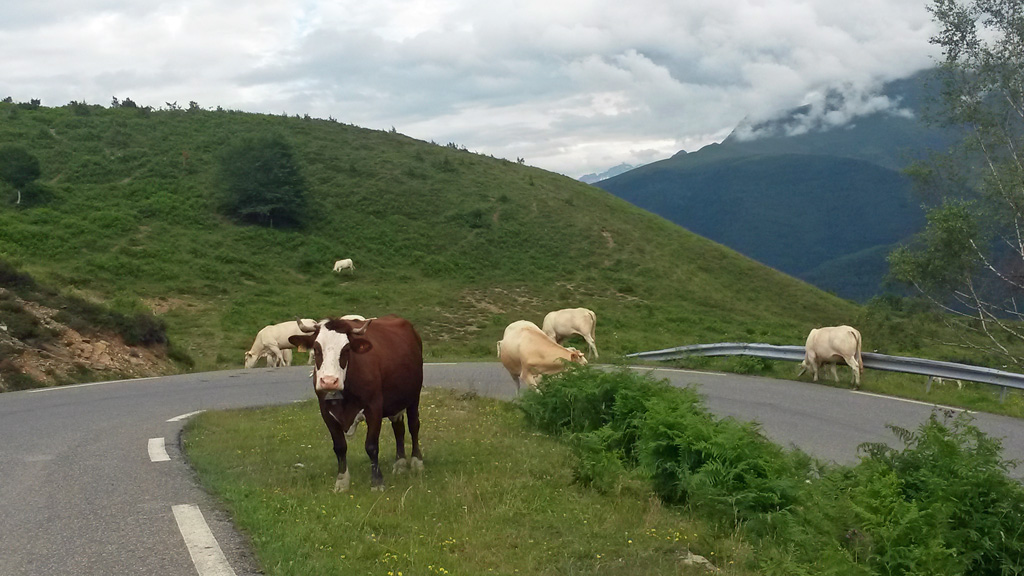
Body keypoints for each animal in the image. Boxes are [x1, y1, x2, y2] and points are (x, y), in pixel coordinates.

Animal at [288, 313, 423, 487]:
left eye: (346, 349)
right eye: (316, 349)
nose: (329, 381)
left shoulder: (374, 408)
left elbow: (371, 446)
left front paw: (377, 481)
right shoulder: (326, 412)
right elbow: (339, 446)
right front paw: (342, 481)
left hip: (414, 395)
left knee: (414, 425)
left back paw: (417, 461)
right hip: (396, 401)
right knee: (398, 428)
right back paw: (400, 464)